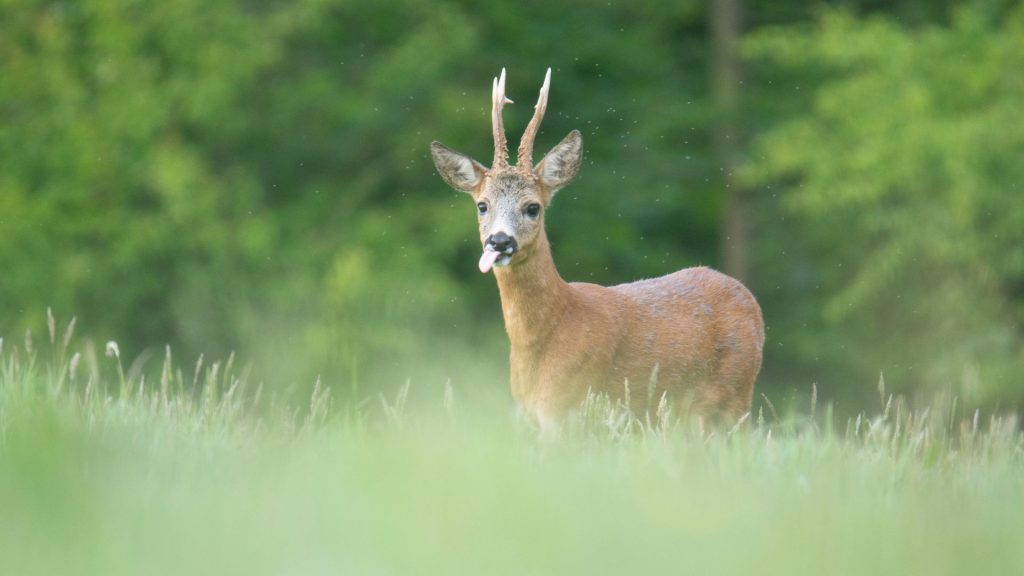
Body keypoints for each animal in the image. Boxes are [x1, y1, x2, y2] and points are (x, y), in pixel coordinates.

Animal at [428, 68, 765, 426]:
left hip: (734, 397)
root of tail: (748, 298)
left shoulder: (566, 406)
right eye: (482, 205)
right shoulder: (530, 415)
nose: (500, 240)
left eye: (533, 207)